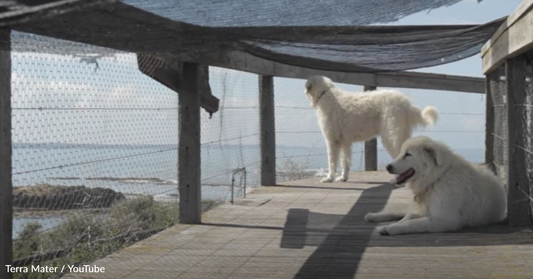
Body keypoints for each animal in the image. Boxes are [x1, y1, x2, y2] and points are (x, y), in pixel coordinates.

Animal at [304, 75, 436, 184]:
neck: (325, 94)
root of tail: (406, 103)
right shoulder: (345, 143)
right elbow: (345, 161)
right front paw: (343, 177)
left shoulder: (332, 140)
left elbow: (331, 162)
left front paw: (329, 178)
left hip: (392, 136)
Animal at [364, 136, 504, 236]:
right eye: (402, 153)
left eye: (408, 154)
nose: (388, 167)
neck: (437, 178)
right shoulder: (424, 210)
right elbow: (407, 218)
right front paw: (388, 225)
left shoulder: (444, 219)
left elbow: (411, 223)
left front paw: (389, 228)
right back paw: (373, 216)